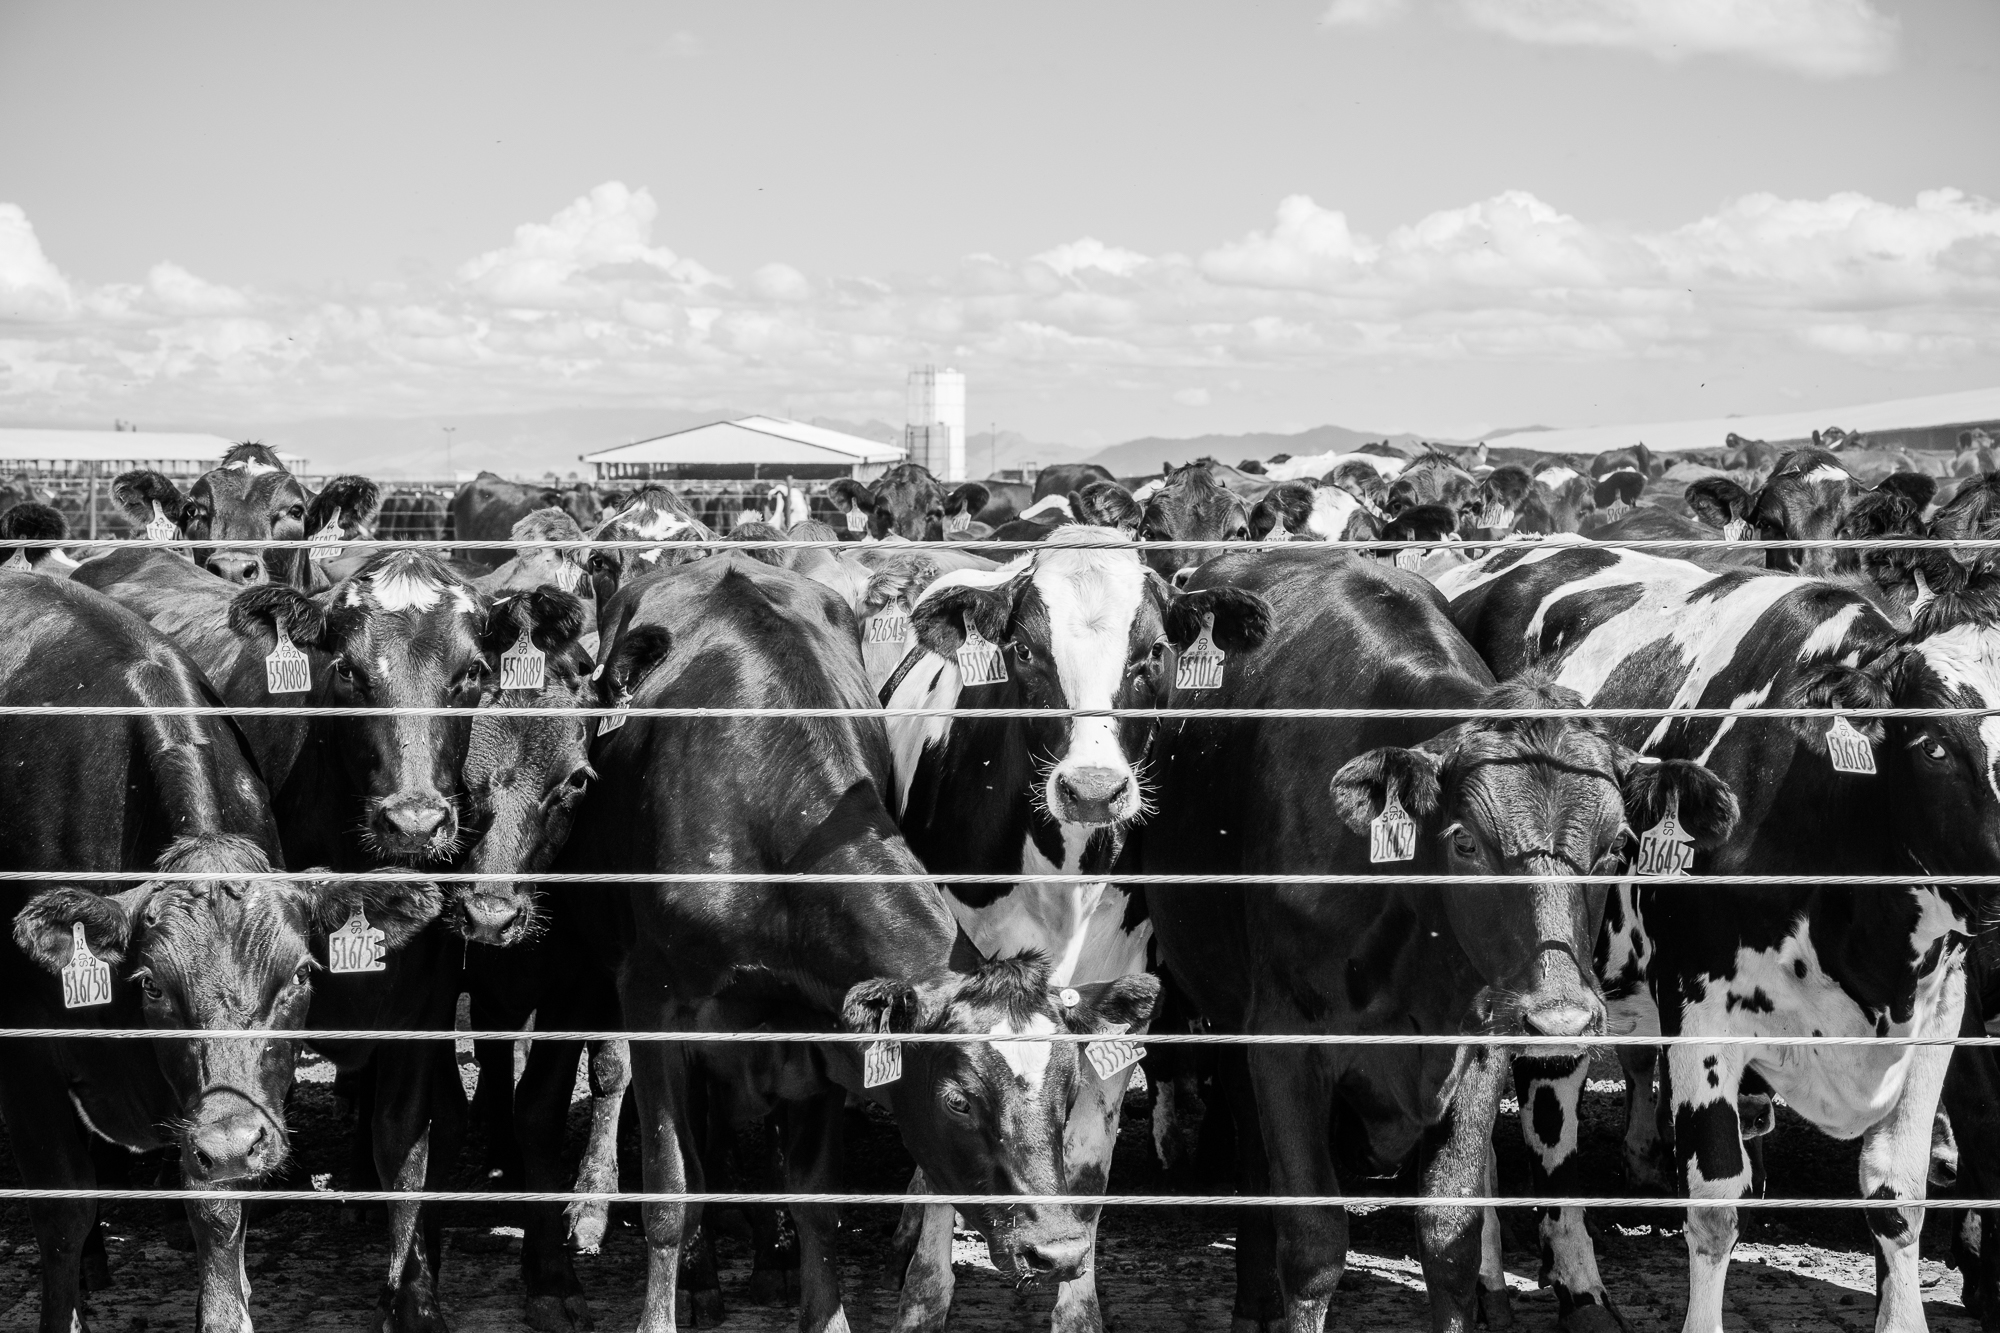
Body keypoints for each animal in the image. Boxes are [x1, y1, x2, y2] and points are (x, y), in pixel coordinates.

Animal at [0, 572, 442, 1328]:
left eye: (300, 976)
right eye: (150, 983)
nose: (234, 1142)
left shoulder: (220, 1113)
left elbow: (217, 1212)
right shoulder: (25, 1062)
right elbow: (62, 1216)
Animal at [494, 544, 1168, 1320]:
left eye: (1066, 1090)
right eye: (957, 1099)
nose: (1054, 1249)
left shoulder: (820, 1025)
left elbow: (815, 1200)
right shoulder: (652, 1005)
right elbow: (671, 1193)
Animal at [1440, 540, 1984, 1328]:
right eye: (1936, 744)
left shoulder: (1940, 1007)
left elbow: (1896, 1193)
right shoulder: (1702, 1013)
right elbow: (1716, 1204)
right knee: (1518, 1132)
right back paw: (1548, 1284)